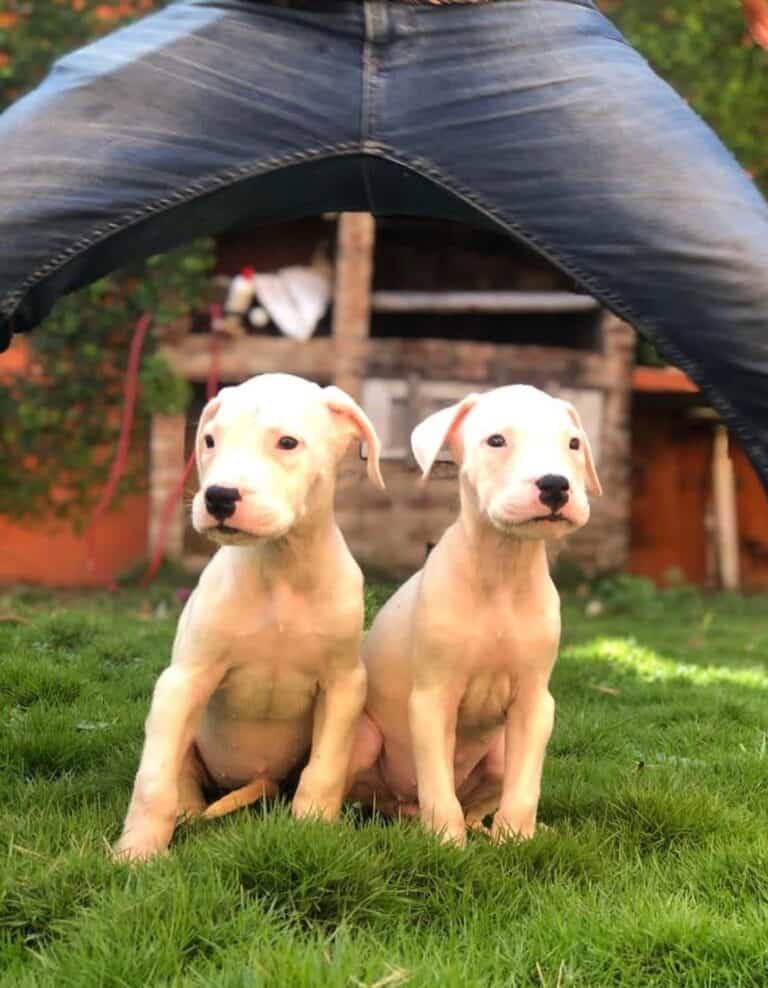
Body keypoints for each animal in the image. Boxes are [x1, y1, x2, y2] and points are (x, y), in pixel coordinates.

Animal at [115, 374, 384, 860]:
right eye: (209, 440)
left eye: (287, 442)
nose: (219, 497)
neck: (279, 570)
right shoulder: (183, 681)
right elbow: (153, 779)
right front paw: (137, 853)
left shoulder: (344, 684)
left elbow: (324, 770)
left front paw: (313, 831)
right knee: (179, 775)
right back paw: (186, 812)